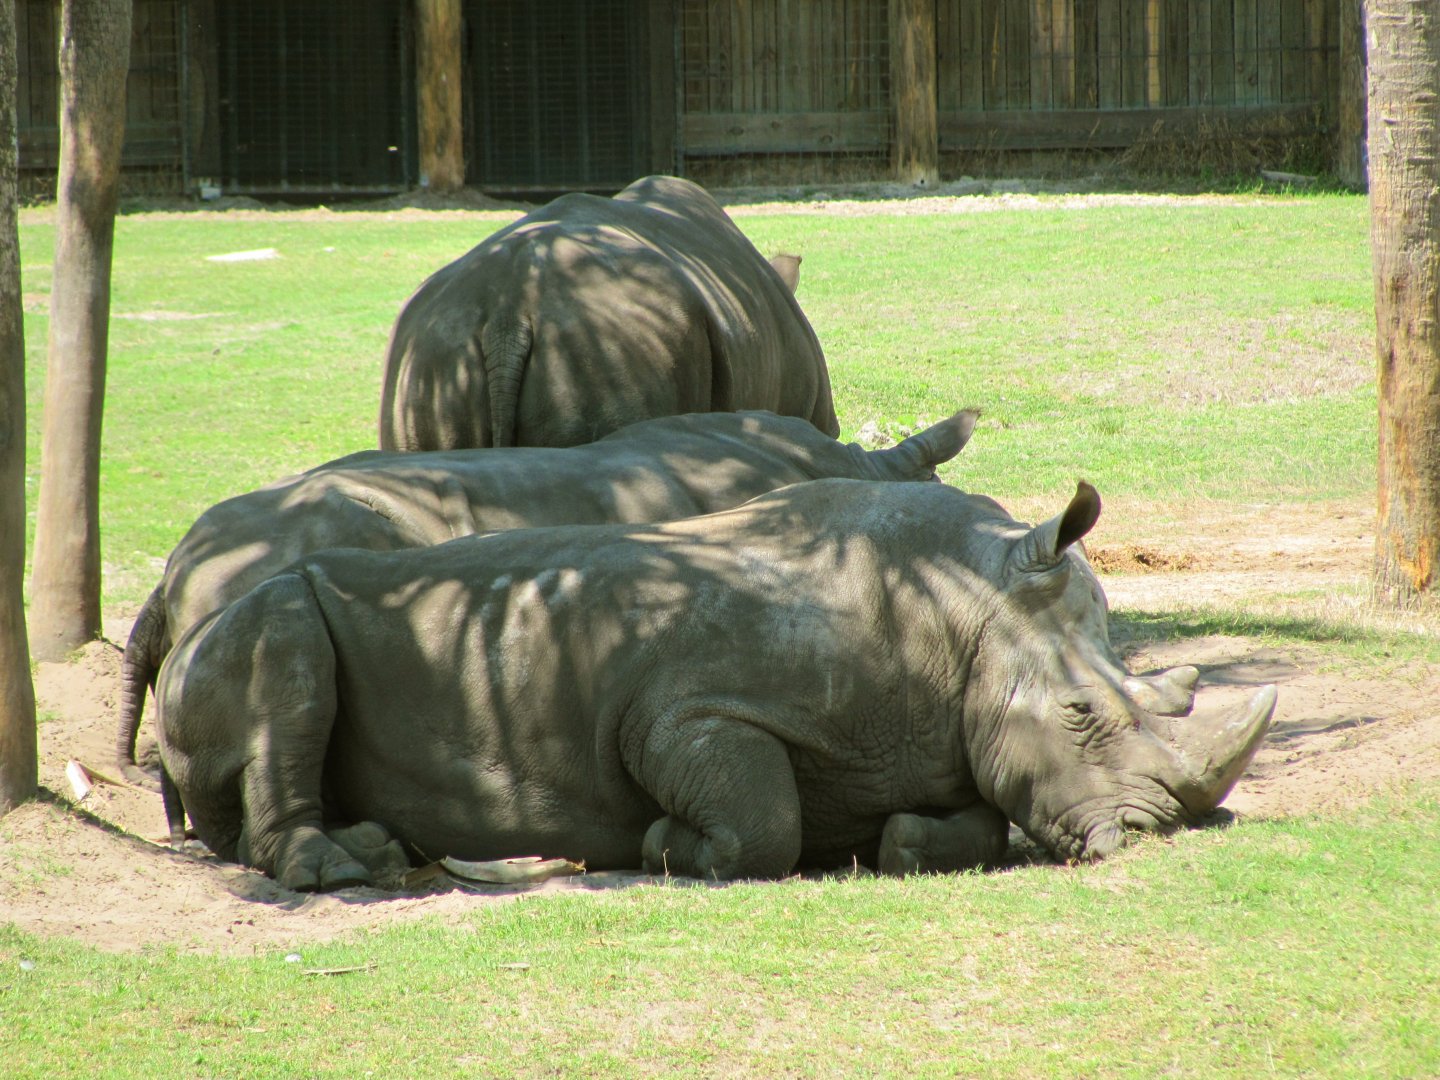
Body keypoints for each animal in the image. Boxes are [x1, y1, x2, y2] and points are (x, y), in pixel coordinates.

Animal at [153, 478, 1276, 891]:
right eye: (1081, 716)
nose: (1156, 834)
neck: (967, 604)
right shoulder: (683, 711)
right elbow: (761, 823)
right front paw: (661, 846)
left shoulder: (945, 731)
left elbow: (979, 818)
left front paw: (898, 842)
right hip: (252, 615)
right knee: (287, 645)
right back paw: (352, 869)